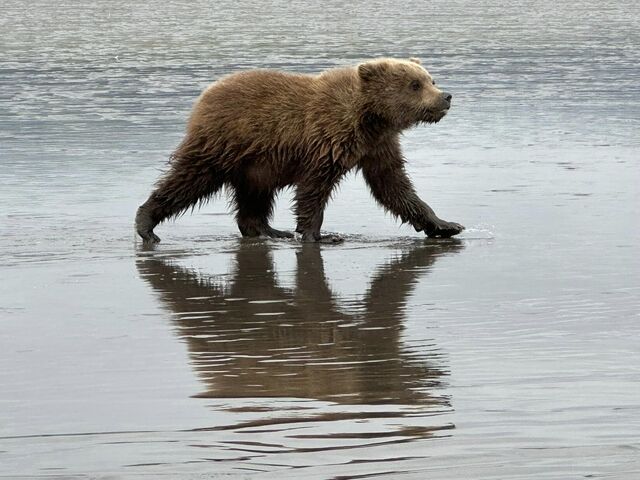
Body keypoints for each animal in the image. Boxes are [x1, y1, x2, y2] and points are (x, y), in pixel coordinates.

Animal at [136, 57, 464, 244]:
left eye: (430, 79)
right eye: (414, 84)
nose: (446, 96)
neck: (370, 118)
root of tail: (205, 95)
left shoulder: (378, 146)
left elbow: (394, 186)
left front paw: (446, 225)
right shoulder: (326, 141)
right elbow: (314, 189)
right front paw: (318, 235)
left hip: (257, 164)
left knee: (254, 196)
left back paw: (268, 230)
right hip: (224, 145)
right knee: (188, 180)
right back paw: (147, 224)